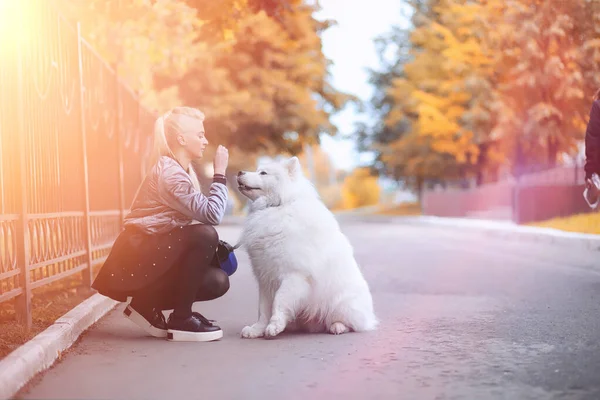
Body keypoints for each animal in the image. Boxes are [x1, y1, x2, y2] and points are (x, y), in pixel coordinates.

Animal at [233, 156, 376, 338]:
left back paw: (337, 326)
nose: (239, 172)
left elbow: (279, 301)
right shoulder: (265, 278)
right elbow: (263, 308)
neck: (279, 205)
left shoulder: (293, 275)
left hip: (340, 303)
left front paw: (274, 326)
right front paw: (257, 329)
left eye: (263, 173)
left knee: (352, 323)